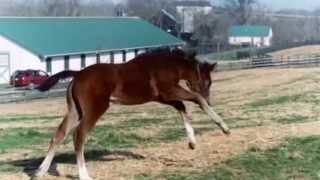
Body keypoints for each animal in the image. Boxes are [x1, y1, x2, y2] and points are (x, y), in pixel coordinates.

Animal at [35, 49, 230, 180]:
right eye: (208, 82)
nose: (210, 99)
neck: (166, 65)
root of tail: (77, 74)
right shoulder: (170, 91)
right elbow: (197, 99)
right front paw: (224, 127)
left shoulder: (162, 97)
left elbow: (182, 107)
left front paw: (192, 143)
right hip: (95, 108)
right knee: (79, 135)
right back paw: (84, 175)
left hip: (75, 110)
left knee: (60, 134)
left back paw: (40, 171)